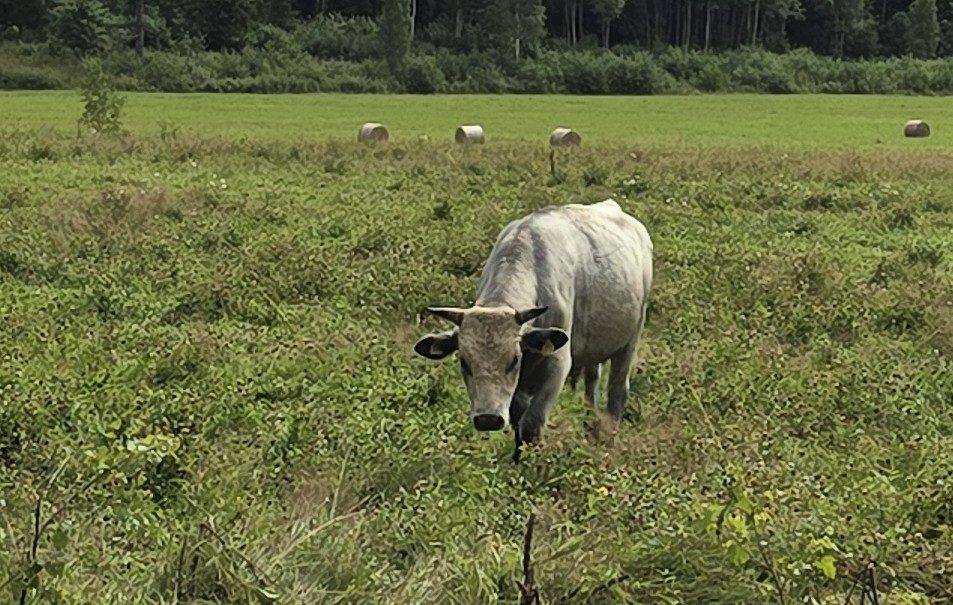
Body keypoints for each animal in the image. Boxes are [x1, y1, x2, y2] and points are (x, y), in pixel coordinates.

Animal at [414, 199, 653, 461]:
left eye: (513, 359)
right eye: (464, 362)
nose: (488, 419)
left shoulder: (557, 364)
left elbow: (531, 424)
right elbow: (517, 420)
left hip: (630, 341)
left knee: (617, 392)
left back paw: (609, 439)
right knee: (592, 382)